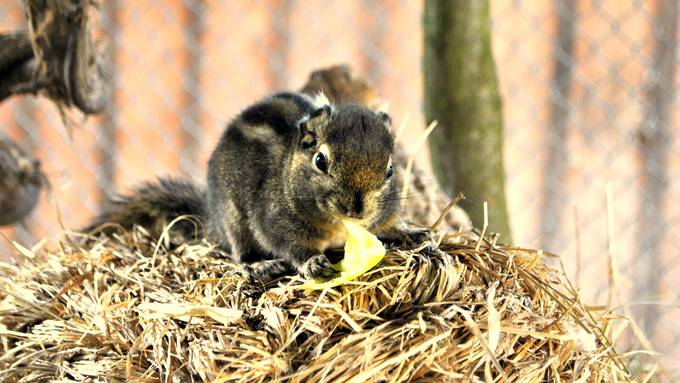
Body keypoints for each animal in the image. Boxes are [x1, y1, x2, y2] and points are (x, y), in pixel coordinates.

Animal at [87, 91, 428, 282]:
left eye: (390, 169)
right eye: (320, 160)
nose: (356, 210)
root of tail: (212, 221)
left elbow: (390, 223)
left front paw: (411, 232)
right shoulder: (274, 221)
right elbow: (290, 246)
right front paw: (312, 263)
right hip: (235, 222)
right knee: (241, 255)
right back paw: (261, 265)